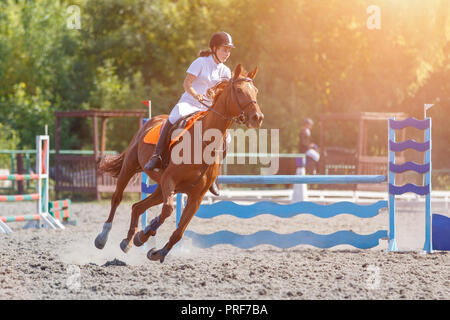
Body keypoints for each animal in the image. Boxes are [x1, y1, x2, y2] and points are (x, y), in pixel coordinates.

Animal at [95, 65, 264, 262]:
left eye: (256, 91)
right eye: (238, 90)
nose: (257, 117)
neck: (203, 142)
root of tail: (151, 120)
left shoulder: (196, 196)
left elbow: (179, 231)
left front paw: (156, 251)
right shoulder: (170, 180)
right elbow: (168, 210)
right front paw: (146, 233)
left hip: (162, 188)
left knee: (138, 207)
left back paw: (128, 241)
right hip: (131, 166)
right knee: (117, 198)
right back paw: (103, 237)